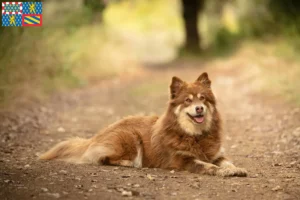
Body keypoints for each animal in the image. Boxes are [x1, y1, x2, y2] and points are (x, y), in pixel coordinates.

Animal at [39, 72, 246, 177]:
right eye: (187, 100)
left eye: (202, 98)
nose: (199, 108)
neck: (195, 135)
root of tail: (95, 137)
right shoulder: (183, 160)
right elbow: (206, 165)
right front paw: (221, 171)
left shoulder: (217, 154)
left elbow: (227, 162)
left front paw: (235, 169)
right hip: (130, 137)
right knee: (103, 158)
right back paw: (128, 163)